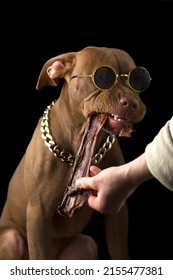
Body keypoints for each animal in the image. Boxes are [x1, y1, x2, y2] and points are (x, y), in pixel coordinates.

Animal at [0, 44, 149, 260]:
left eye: (137, 80)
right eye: (103, 77)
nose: (131, 102)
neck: (77, 143)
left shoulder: (117, 215)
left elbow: (119, 251)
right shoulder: (38, 215)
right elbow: (38, 254)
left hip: (87, 245)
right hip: (11, 240)